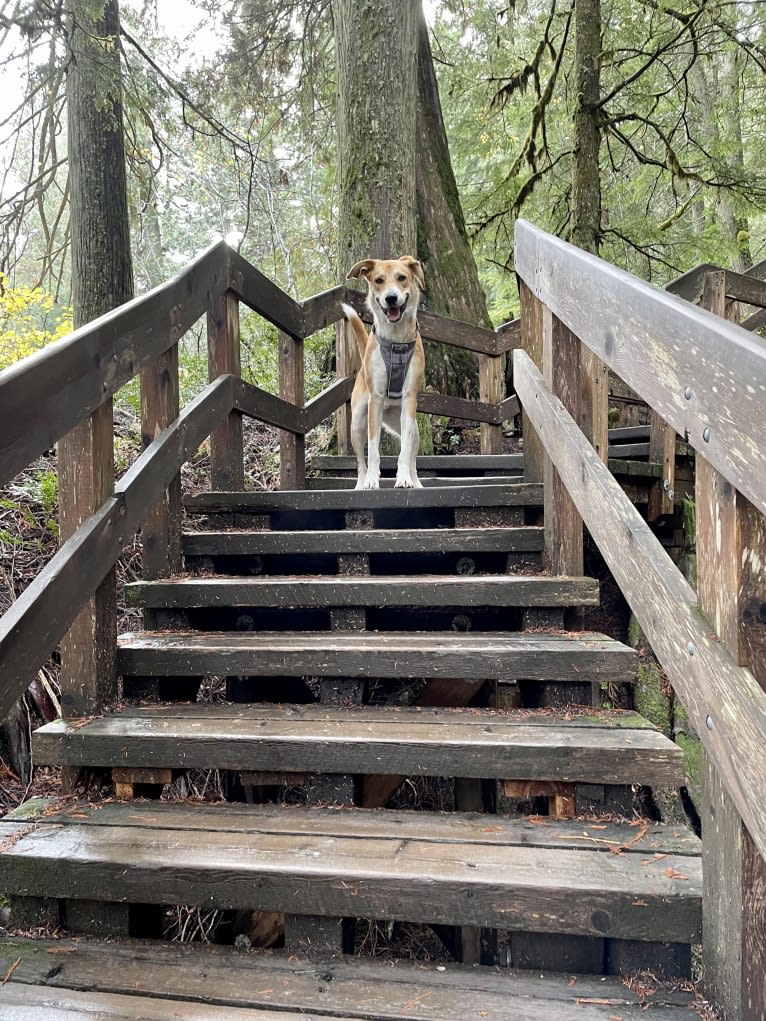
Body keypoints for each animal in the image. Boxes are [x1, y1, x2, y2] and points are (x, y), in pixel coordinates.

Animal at [341, 259, 426, 490]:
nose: (391, 298)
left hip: (412, 427)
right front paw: (372, 480)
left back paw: (416, 482)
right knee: (360, 461)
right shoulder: (376, 401)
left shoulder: (409, 400)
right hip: (357, 424)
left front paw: (403, 478)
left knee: (412, 452)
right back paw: (361, 483)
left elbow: (405, 451)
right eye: (379, 280)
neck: (396, 340)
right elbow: (372, 450)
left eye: (402, 277)